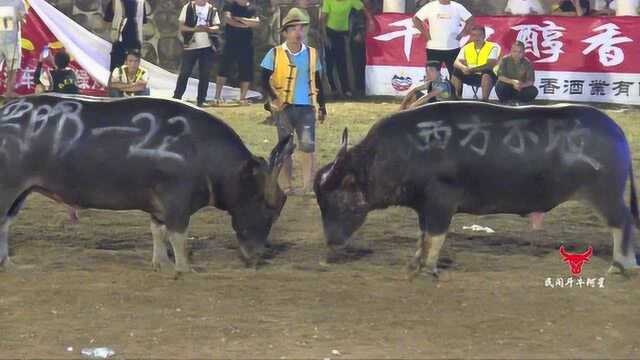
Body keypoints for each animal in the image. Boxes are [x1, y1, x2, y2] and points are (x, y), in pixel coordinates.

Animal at [0, 95, 294, 272]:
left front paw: (161, 263)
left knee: (5, 223)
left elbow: (158, 232)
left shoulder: (159, 205)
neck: (201, 151)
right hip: (9, 188)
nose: (258, 255)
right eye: (269, 205)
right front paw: (185, 268)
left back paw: (6, 261)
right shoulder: (177, 203)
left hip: (21, 192)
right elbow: (178, 236)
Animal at [316, 101, 640, 276]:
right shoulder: (424, 206)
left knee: (622, 223)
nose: (331, 241)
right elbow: (423, 235)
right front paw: (415, 263)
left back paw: (621, 265)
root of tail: (614, 129)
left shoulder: (440, 202)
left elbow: (435, 236)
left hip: (605, 194)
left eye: (335, 199)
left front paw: (427, 269)